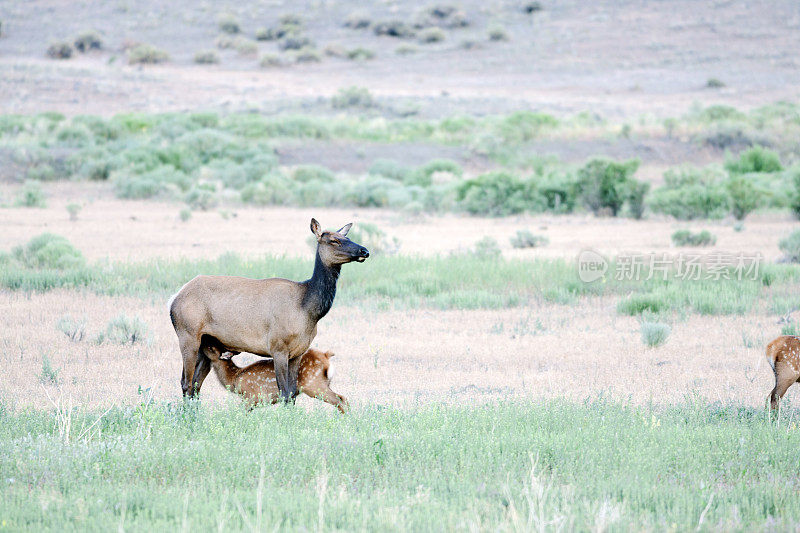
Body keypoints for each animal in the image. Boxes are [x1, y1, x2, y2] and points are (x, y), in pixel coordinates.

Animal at [170, 219, 370, 400]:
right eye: (334, 240)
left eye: (347, 237)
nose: (364, 251)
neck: (307, 310)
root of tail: (173, 299)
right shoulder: (278, 347)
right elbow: (284, 392)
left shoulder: (298, 352)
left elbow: (292, 393)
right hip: (187, 336)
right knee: (186, 383)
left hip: (206, 343)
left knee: (196, 384)